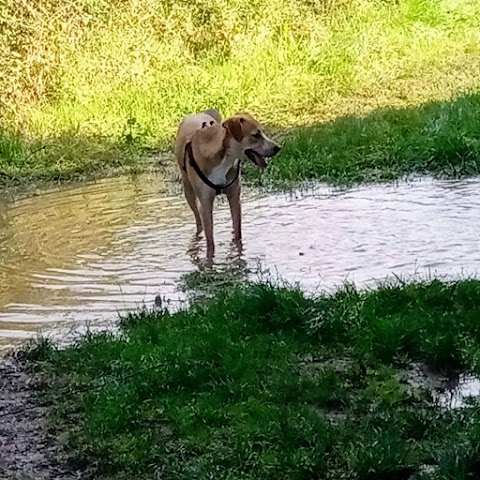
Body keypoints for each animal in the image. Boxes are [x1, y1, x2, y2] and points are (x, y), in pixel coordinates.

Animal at [175, 109, 282, 258]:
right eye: (255, 135)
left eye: (263, 132)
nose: (278, 148)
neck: (223, 157)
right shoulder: (205, 203)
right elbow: (210, 239)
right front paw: (210, 258)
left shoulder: (234, 196)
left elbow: (237, 230)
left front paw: (238, 250)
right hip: (188, 190)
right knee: (198, 219)